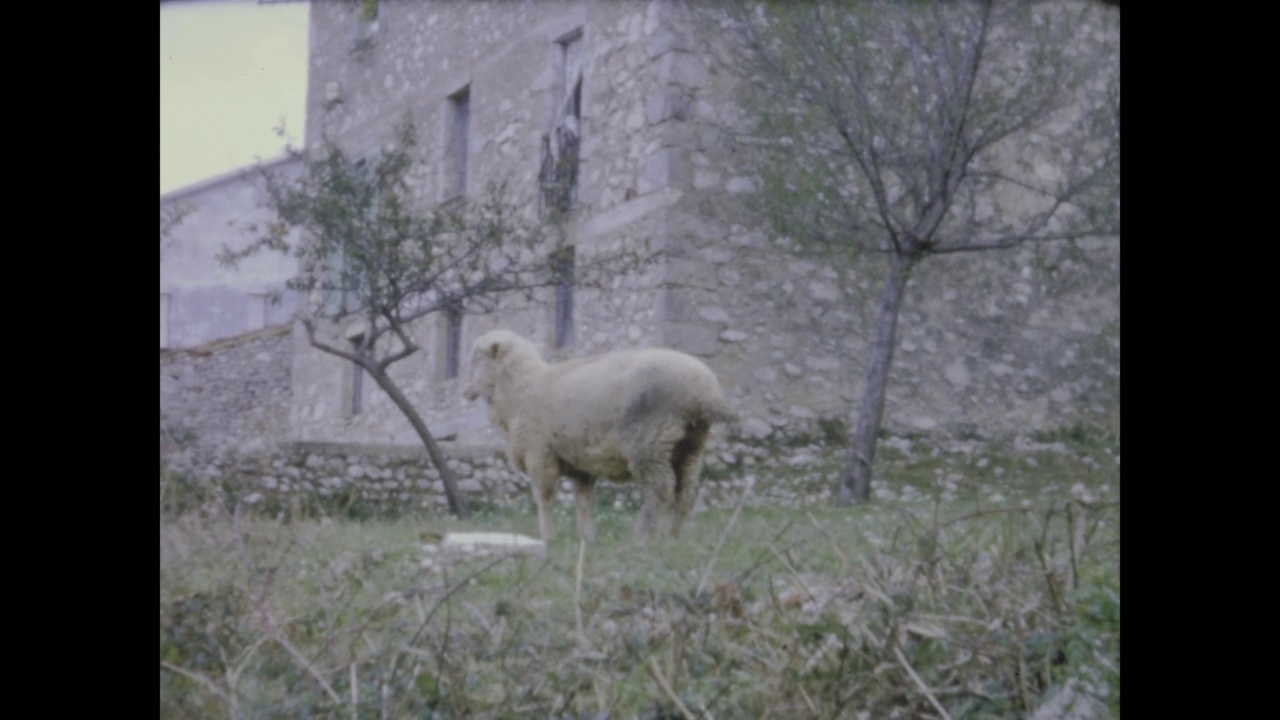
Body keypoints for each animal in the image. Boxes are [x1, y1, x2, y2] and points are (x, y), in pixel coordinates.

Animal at [465, 330, 737, 538]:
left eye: (476, 358)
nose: (465, 391)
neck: (520, 391)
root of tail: (704, 392)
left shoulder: (539, 455)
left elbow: (544, 498)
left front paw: (549, 536)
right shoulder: (581, 464)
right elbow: (583, 500)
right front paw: (587, 537)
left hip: (650, 441)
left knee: (661, 488)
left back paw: (644, 536)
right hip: (690, 445)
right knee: (686, 491)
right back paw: (673, 537)